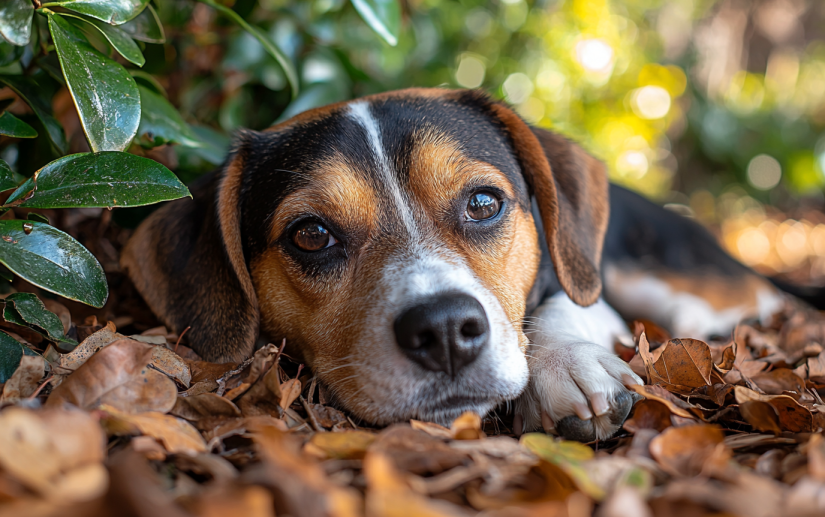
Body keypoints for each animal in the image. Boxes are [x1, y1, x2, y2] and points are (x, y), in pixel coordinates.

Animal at [124, 87, 804, 440]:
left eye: (483, 203)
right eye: (311, 235)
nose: (446, 330)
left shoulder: (585, 292)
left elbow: (562, 305)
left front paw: (567, 364)